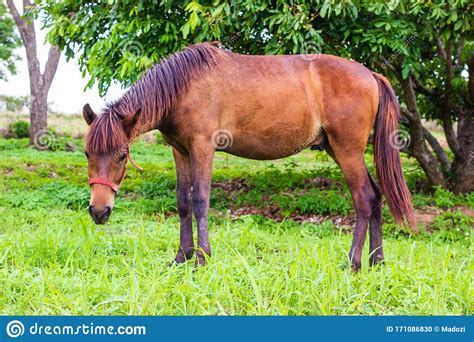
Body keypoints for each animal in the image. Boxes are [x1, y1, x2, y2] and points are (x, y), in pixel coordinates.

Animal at [82, 42, 414, 272]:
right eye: (87, 153)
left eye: (122, 155)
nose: (99, 212)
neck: (184, 86)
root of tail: (370, 74)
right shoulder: (180, 151)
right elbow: (183, 203)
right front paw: (181, 257)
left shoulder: (202, 148)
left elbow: (200, 200)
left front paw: (202, 258)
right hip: (337, 148)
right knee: (376, 196)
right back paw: (377, 261)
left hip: (347, 150)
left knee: (364, 198)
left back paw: (353, 263)